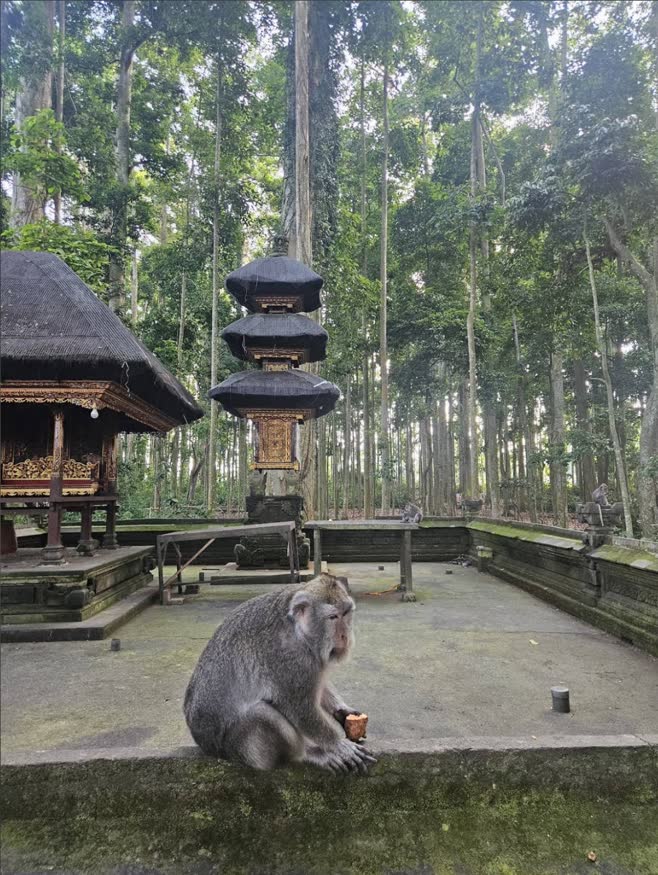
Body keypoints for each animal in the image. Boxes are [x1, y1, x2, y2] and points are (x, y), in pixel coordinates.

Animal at [183, 573, 376, 774]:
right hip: (236, 748)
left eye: (346, 614)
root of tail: (206, 746)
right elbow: (300, 709)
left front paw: (343, 711)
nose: (344, 636)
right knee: (260, 713)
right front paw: (338, 745)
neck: (299, 632)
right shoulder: (288, 657)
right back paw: (307, 754)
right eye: (333, 617)